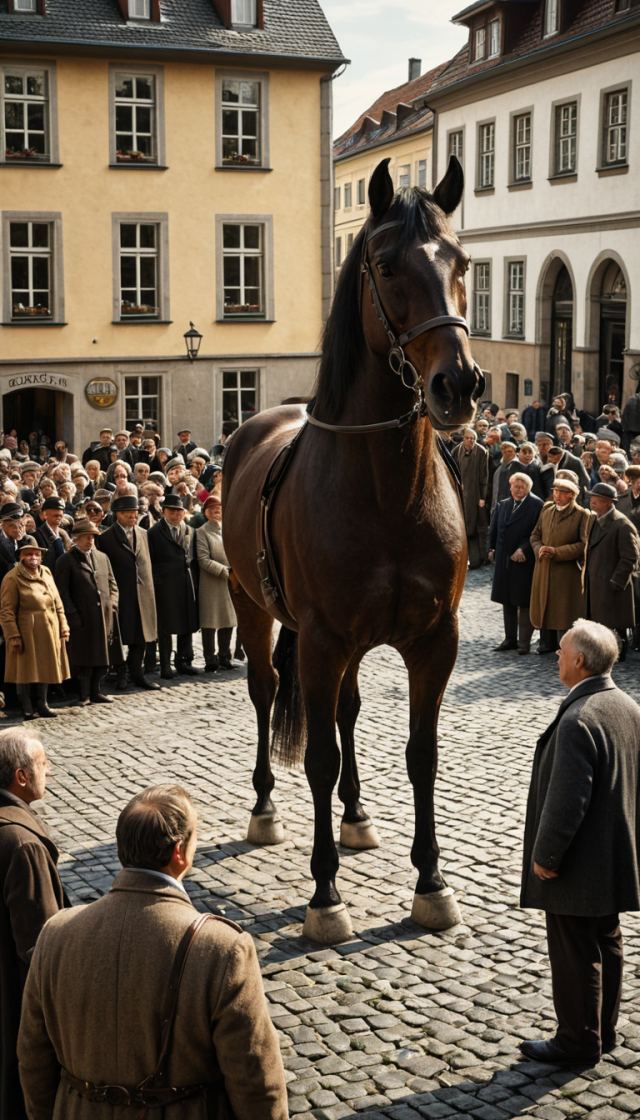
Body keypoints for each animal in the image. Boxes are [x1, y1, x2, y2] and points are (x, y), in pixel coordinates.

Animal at [222, 156, 484, 944]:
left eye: (462, 262)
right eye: (389, 265)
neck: (388, 492)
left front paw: (431, 882)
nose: (458, 383)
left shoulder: (434, 640)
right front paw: (325, 891)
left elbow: (422, 753)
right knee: (266, 694)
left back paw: (358, 813)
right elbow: (317, 757)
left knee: (348, 708)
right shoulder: (321, 640)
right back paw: (265, 808)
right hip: (254, 609)